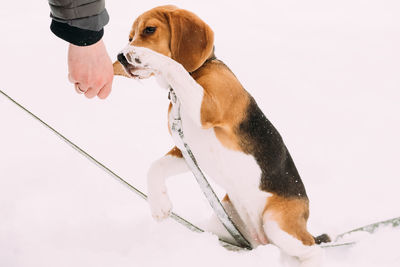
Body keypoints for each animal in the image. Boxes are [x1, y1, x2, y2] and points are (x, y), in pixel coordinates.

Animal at [114, 4, 330, 267]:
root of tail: (257, 241)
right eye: (130, 37)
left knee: (313, 249)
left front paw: (147, 56)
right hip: (220, 225)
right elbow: (156, 166)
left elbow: (174, 65)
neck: (197, 73)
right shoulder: (186, 150)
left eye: (149, 30)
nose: (121, 57)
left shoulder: (207, 107)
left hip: (278, 225)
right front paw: (159, 205)